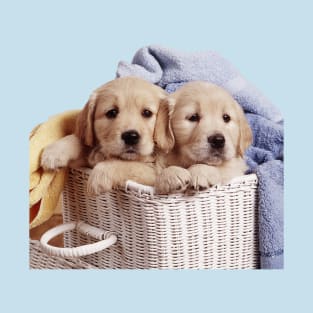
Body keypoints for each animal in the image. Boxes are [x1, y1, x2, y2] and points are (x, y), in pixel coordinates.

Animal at [40, 76, 172, 193]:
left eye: (147, 113)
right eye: (112, 112)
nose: (130, 136)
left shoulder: (154, 173)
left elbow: (128, 165)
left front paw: (99, 177)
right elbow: (79, 140)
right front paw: (54, 152)